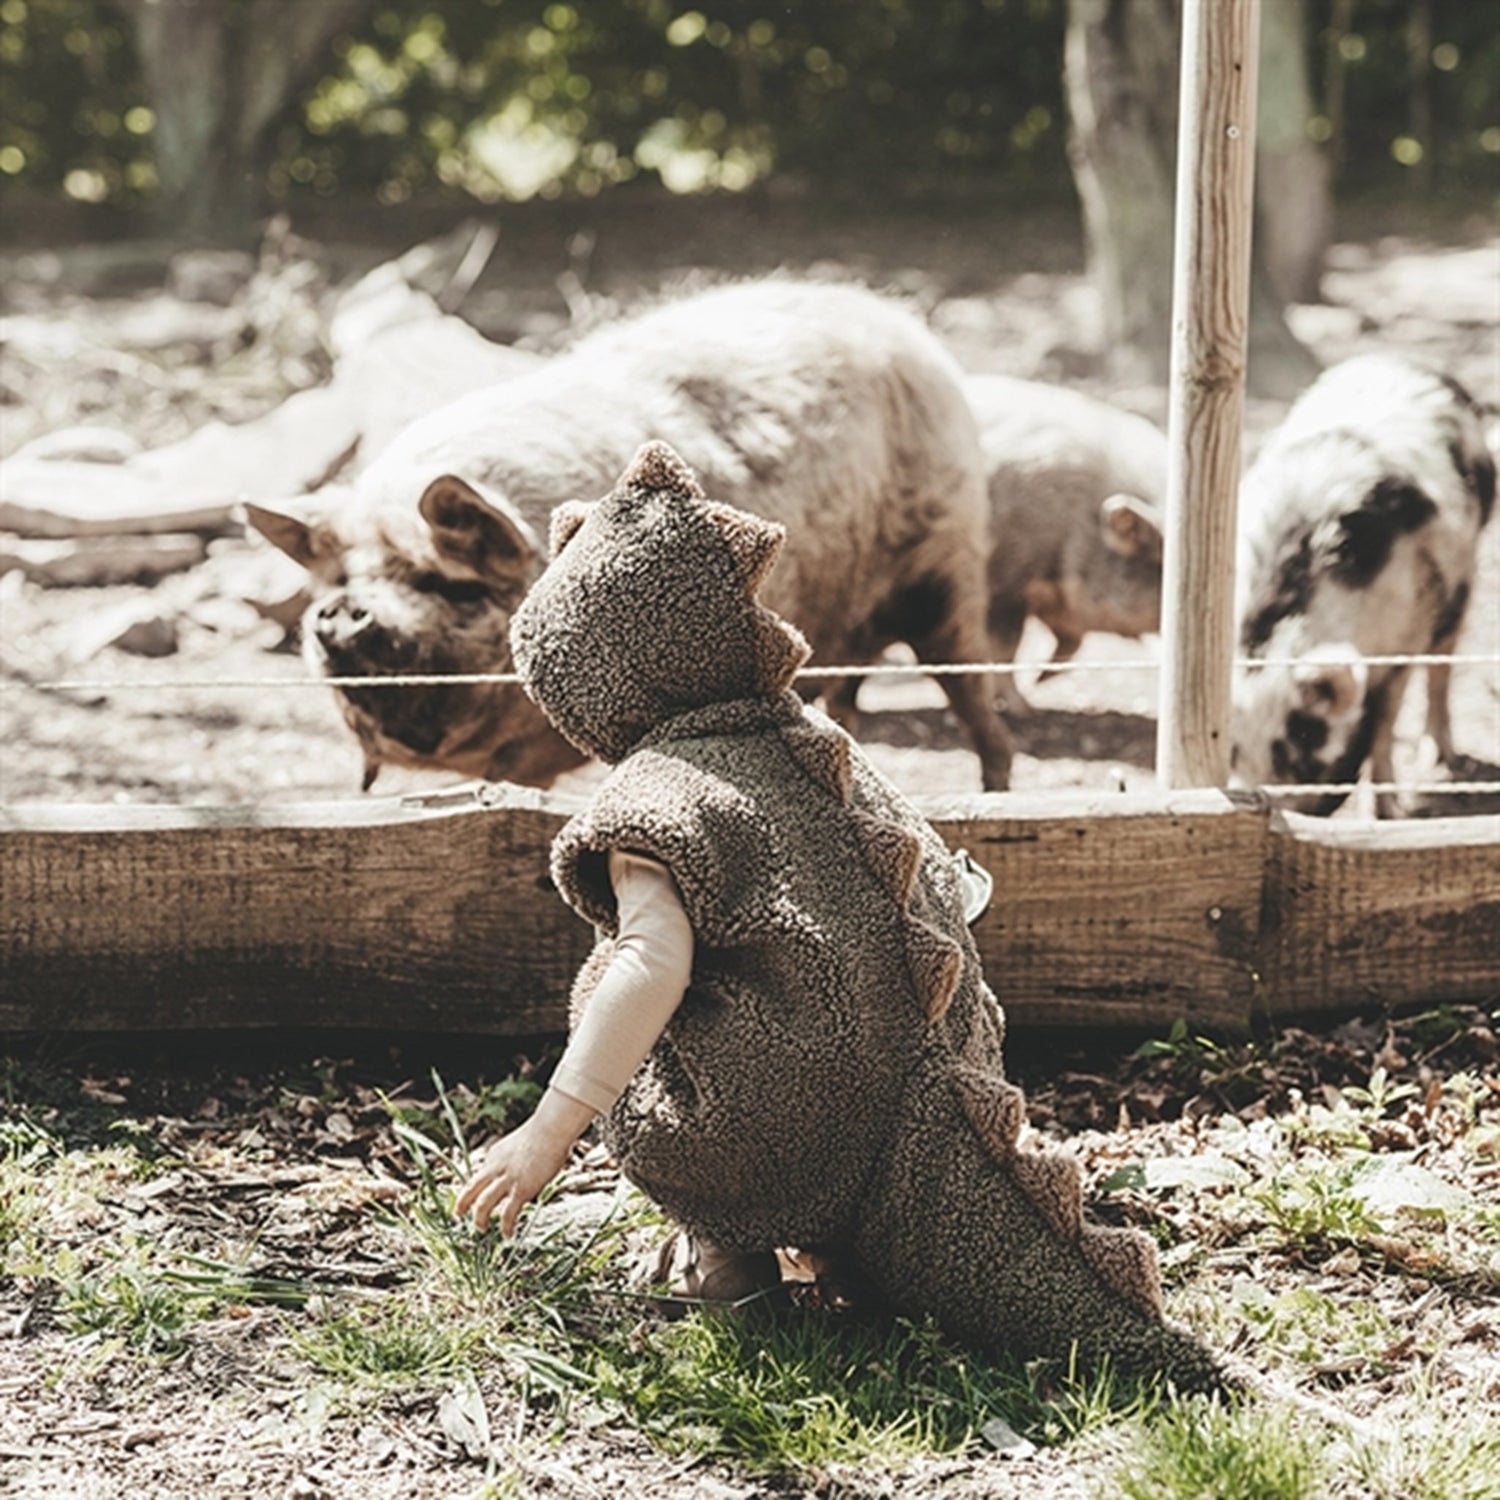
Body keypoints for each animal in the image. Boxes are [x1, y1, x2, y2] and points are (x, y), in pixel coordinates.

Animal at [245, 278, 1014, 791]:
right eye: (340, 579)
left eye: (446, 584)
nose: (341, 612)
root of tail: (899, 322)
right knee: (848, 689)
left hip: (947, 562)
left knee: (970, 688)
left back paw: (995, 785)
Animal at [1230, 353, 1494, 817]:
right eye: (1229, 747)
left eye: (1299, 746)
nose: (1253, 796)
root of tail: (1399, 359)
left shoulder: (1404, 637)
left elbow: (1383, 725)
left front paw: (1389, 815)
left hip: (1463, 578)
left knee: (1442, 665)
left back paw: (1440, 760)